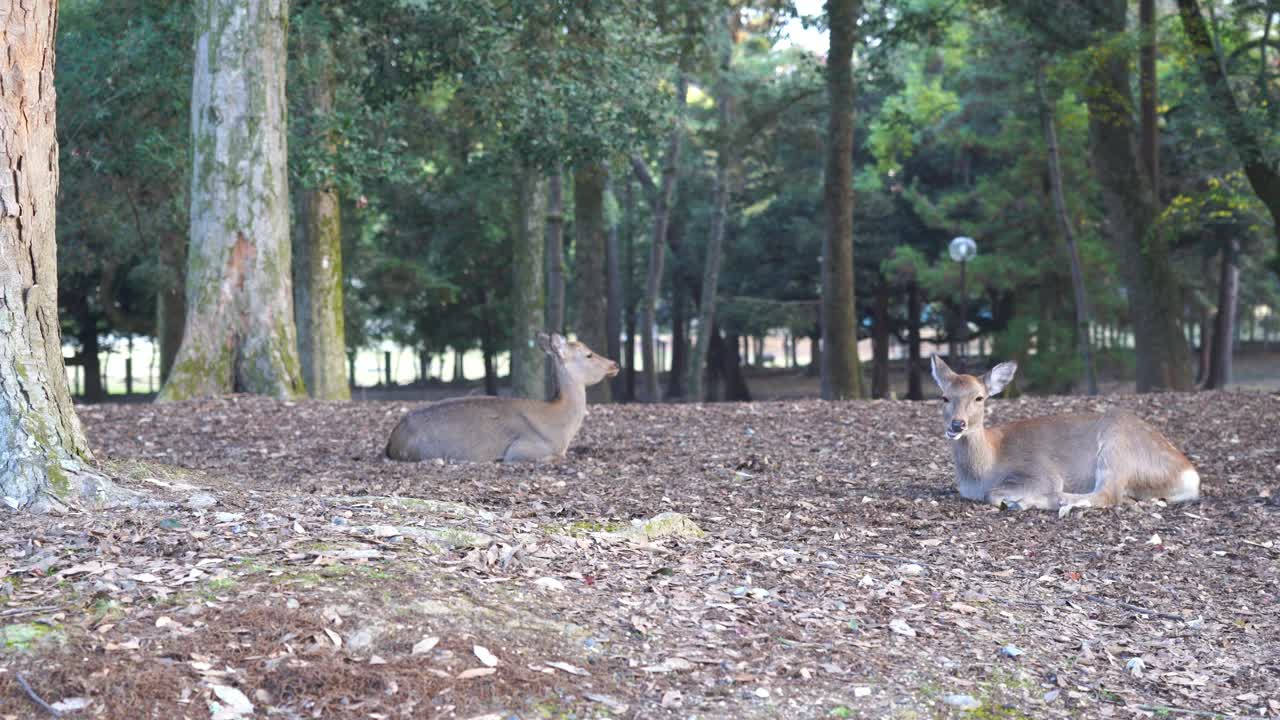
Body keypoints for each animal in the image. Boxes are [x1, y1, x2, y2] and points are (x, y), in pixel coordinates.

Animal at [931, 351, 1198, 509]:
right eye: (944, 397)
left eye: (979, 398)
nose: (957, 424)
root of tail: (1189, 474)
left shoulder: (1040, 472)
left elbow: (993, 494)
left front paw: (1014, 500)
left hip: (1117, 448)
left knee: (1106, 494)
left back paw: (1034, 503)